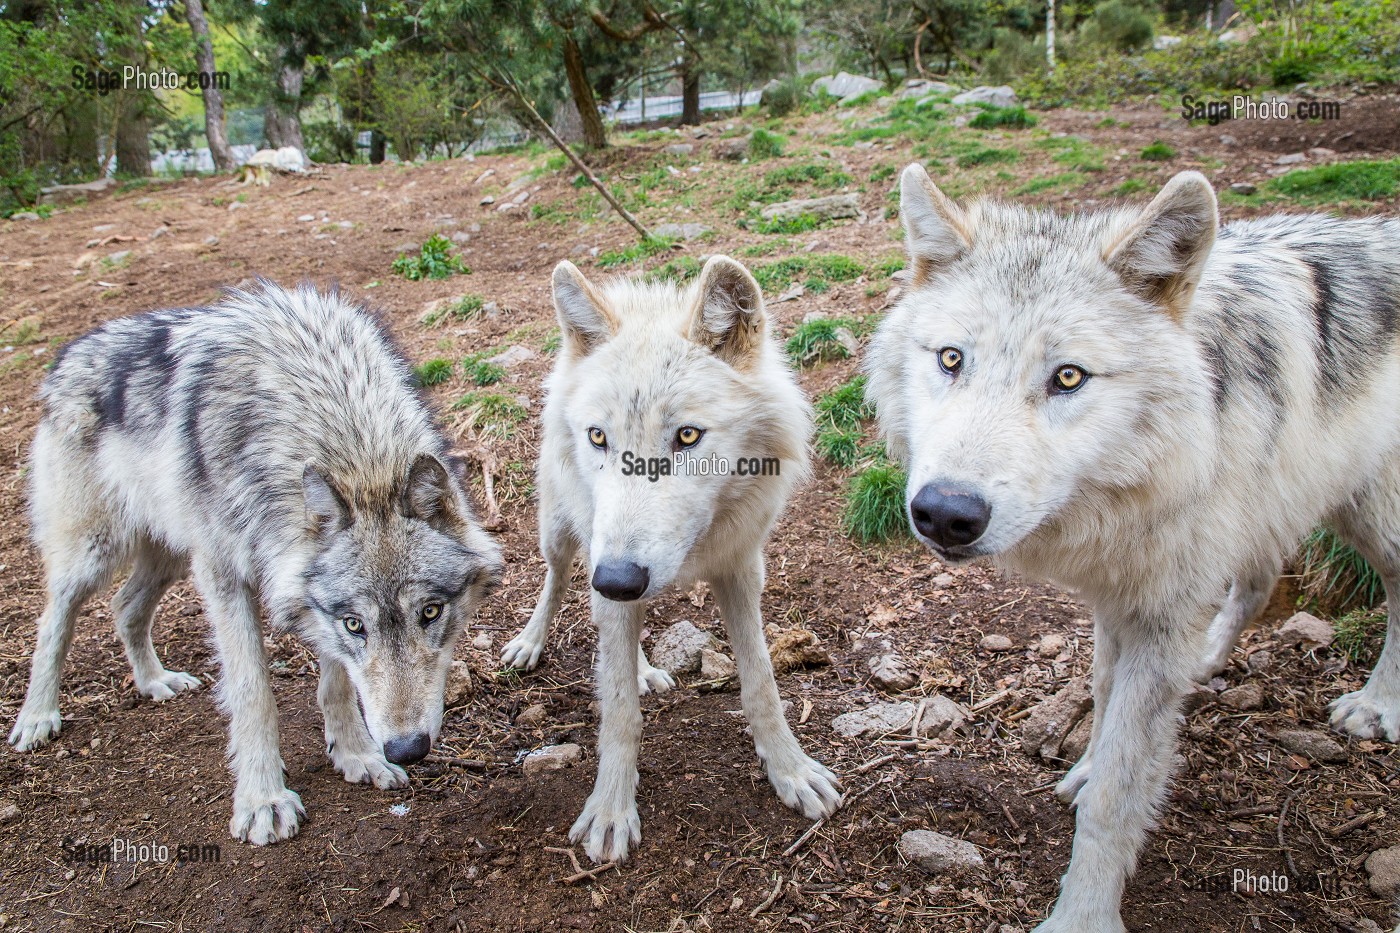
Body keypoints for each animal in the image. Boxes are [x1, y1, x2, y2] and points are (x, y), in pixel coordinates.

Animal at [8, 281, 504, 840]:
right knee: (54, 619)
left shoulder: (306, 596)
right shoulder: (224, 576)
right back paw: (37, 717)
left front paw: (356, 756)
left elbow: (336, 683)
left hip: (170, 556)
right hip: (96, 553)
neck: (348, 442)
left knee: (124, 607)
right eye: (356, 624)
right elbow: (253, 692)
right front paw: (262, 798)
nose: (407, 749)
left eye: (430, 612)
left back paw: (155, 682)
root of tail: (68, 353)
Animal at [504, 256, 840, 862]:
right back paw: (531, 642)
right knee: (557, 581)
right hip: (562, 536)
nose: (616, 580)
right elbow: (618, 712)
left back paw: (642, 666)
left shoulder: (740, 569)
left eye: (687, 435)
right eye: (599, 437)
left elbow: (762, 683)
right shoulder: (606, 565)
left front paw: (790, 771)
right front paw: (611, 810)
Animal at [862, 163, 1400, 924]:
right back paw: (1208, 660)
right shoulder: (1121, 594)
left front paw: (1081, 916)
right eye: (951, 358)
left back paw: (1377, 705)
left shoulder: (1158, 613)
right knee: (1260, 579)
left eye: (1068, 376)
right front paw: (1087, 766)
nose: (944, 513)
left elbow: (1118, 796)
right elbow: (1104, 695)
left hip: (1370, 516)